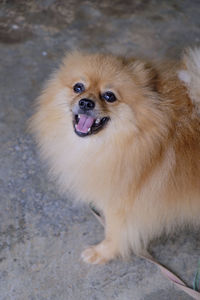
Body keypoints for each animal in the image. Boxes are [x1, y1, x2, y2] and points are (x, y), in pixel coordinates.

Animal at [29, 48, 200, 264]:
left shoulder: (121, 205)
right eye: (78, 87)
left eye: (109, 96)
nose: (86, 102)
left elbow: (114, 233)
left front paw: (101, 253)